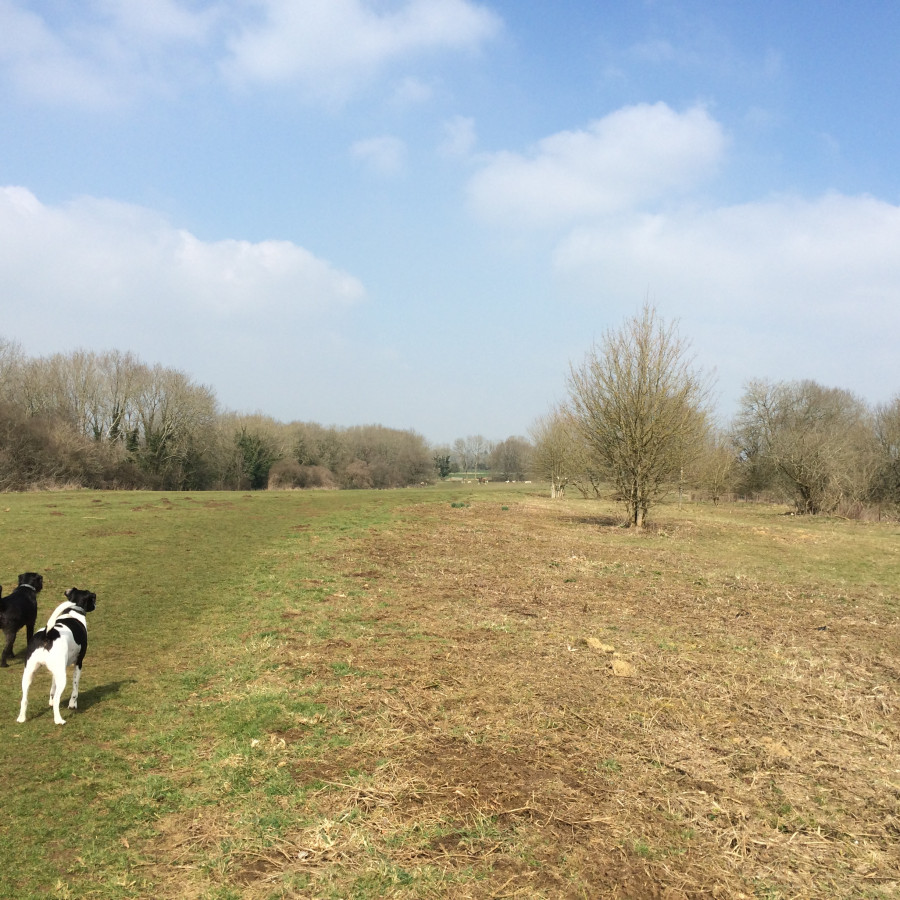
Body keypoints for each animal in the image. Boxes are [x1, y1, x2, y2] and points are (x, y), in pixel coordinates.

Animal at [16, 592, 96, 724]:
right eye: (93, 598)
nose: (95, 605)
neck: (72, 613)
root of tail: (47, 634)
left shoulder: (55, 671)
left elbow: (52, 689)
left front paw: (51, 701)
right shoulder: (79, 663)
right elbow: (75, 688)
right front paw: (72, 704)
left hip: (28, 674)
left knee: (24, 699)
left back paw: (21, 718)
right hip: (62, 677)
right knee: (58, 699)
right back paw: (59, 720)